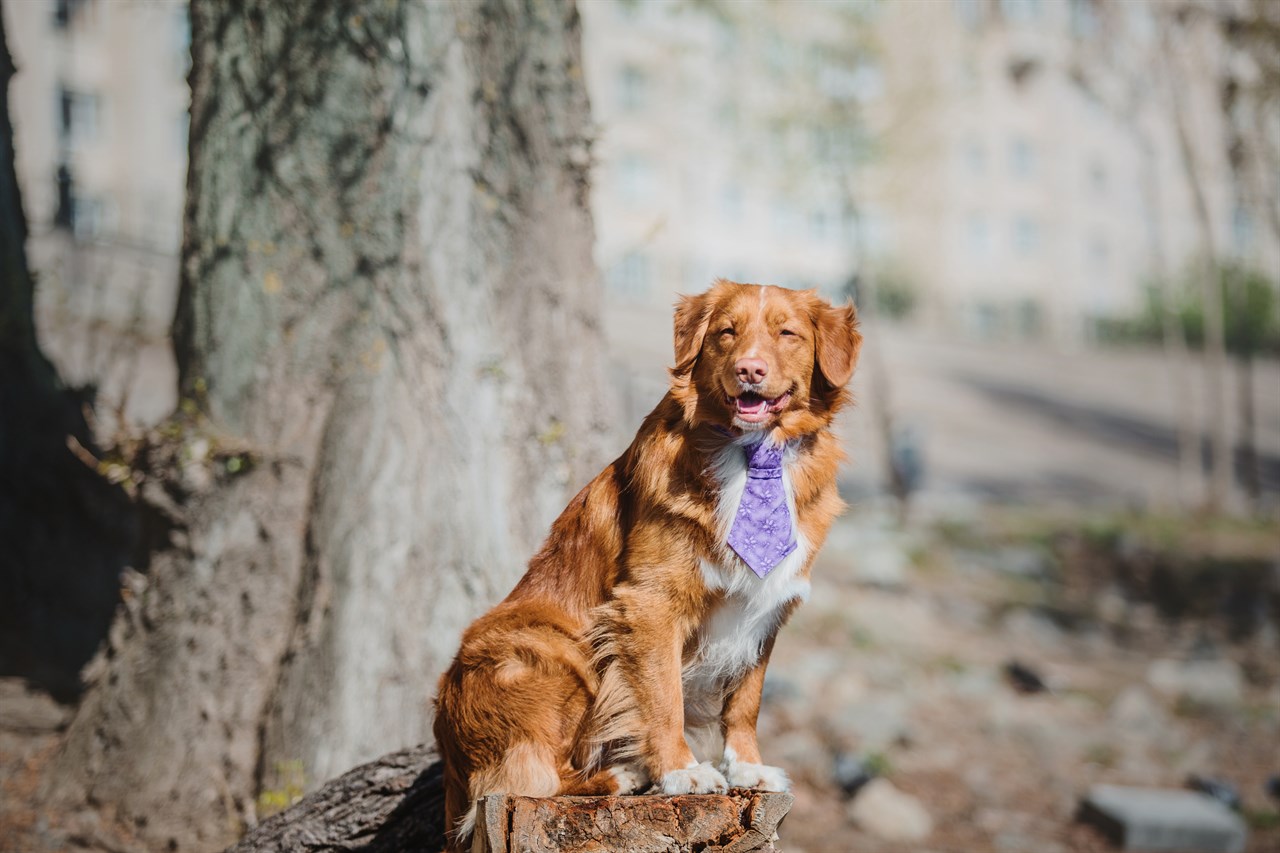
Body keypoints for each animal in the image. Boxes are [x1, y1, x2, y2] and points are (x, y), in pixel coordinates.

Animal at [430, 280, 860, 845]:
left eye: (787, 333)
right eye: (727, 332)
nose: (749, 370)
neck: (753, 454)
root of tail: (449, 753)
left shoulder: (766, 607)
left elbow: (746, 700)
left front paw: (747, 767)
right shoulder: (650, 603)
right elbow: (662, 695)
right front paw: (681, 771)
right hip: (549, 652)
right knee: (534, 777)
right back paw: (624, 774)